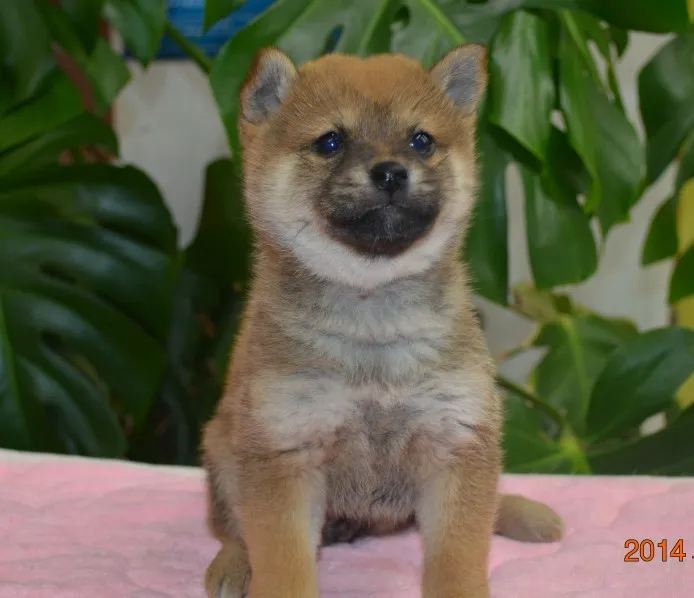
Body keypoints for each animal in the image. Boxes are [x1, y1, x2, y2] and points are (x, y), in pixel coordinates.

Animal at [203, 43, 564, 598]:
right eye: (330, 141)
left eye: (421, 140)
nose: (392, 171)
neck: (372, 326)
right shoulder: (285, 453)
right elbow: (283, 565)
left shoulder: (457, 441)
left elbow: (458, 557)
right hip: (222, 450)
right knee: (233, 527)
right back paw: (233, 564)